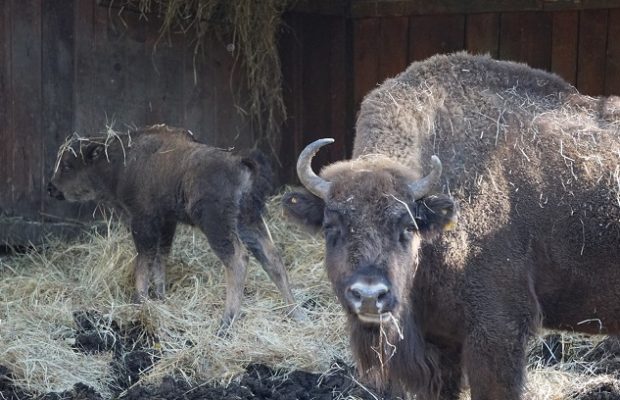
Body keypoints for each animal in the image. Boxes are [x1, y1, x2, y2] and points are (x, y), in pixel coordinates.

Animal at [48, 125, 300, 332]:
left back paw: (225, 323)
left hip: (218, 226)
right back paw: (295, 313)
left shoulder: (142, 221)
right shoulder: (167, 222)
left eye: (68, 165)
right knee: (272, 257)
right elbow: (160, 257)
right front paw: (160, 297)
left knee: (238, 259)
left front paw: (139, 301)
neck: (119, 162)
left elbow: (144, 261)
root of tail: (239, 162)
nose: (51, 188)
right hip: (249, 222)